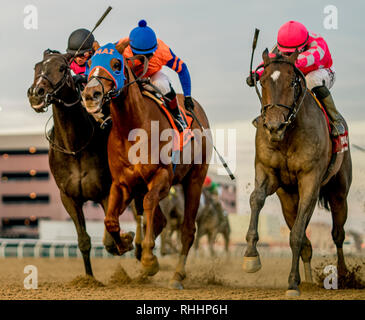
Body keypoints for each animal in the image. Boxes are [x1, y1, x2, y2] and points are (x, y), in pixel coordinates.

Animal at [26, 51, 132, 276]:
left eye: (62, 68)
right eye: (36, 67)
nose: (36, 93)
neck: (75, 147)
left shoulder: (106, 193)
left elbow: (110, 238)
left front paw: (125, 241)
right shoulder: (69, 198)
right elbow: (84, 241)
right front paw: (89, 278)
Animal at [79, 41, 210, 288]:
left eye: (117, 64)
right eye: (90, 63)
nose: (91, 94)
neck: (132, 128)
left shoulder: (161, 176)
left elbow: (149, 204)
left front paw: (149, 259)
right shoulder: (122, 183)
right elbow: (110, 219)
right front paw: (125, 242)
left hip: (195, 180)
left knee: (188, 230)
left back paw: (176, 275)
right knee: (160, 220)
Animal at [243, 48, 352, 296]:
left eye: (292, 82)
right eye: (262, 81)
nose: (274, 126)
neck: (287, 137)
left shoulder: (310, 180)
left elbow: (297, 236)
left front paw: (292, 282)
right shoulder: (267, 171)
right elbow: (256, 199)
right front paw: (251, 256)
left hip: (339, 192)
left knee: (337, 234)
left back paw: (341, 275)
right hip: (288, 200)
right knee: (304, 236)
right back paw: (310, 278)